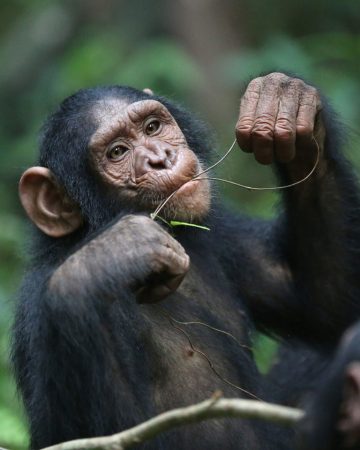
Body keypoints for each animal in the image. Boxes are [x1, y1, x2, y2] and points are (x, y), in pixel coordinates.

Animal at [11, 74, 360, 450]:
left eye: (152, 127)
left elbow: (323, 302)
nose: (160, 158)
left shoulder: (222, 234)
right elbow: (87, 435)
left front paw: (286, 105)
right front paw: (106, 260)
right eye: (117, 152)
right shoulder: (37, 315)